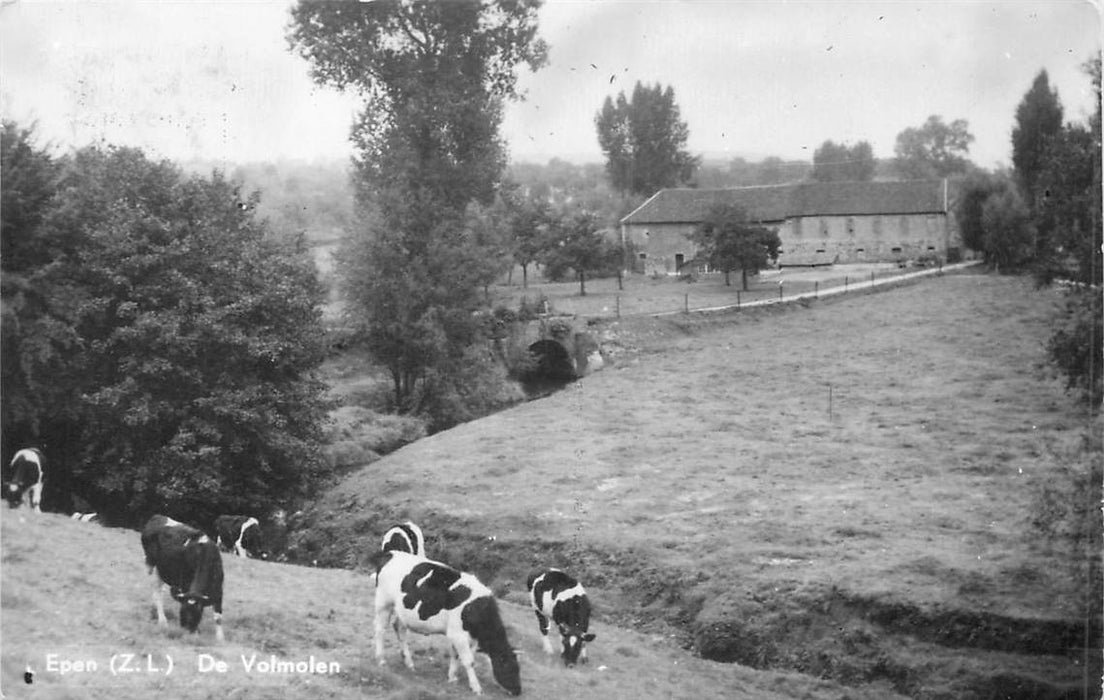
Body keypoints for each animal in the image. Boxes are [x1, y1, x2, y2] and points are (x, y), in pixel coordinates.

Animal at [141, 510, 225, 640]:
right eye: (182, 611)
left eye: (198, 612)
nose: (187, 631)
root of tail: (157, 516)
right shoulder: (185, 584)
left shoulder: (218, 590)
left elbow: (218, 617)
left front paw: (220, 638)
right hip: (151, 564)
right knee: (157, 592)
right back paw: (161, 619)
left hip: (162, 570)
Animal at [370, 549, 521, 693]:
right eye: (510, 668)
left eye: (518, 669)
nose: (518, 691)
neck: (477, 607)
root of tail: (391, 553)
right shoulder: (458, 635)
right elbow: (469, 661)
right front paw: (476, 687)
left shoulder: (463, 636)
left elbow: (456, 656)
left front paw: (452, 677)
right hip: (384, 603)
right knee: (380, 630)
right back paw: (381, 660)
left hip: (403, 612)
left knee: (399, 629)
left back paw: (409, 663)